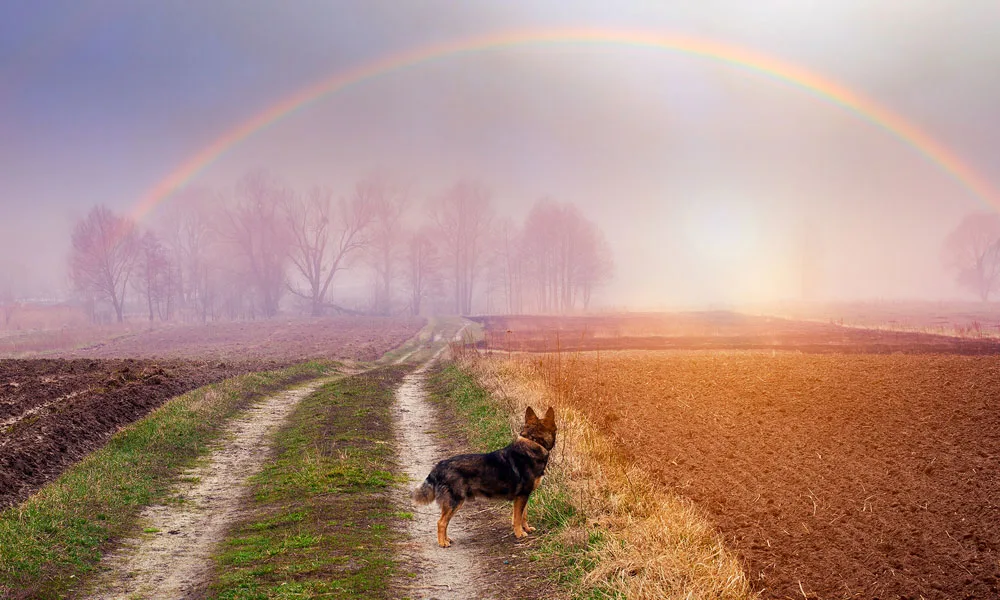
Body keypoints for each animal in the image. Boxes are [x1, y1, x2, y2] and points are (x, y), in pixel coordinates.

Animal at [412, 406, 560, 548]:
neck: (534, 443)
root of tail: (438, 467)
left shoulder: (524, 496)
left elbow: (523, 516)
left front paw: (527, 529)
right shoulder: (522, 496)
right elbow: (518, 518)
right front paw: (520, 534)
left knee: (445, 522)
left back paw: (447, 539)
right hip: (455, 501)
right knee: (441, 522)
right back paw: (442, 543)